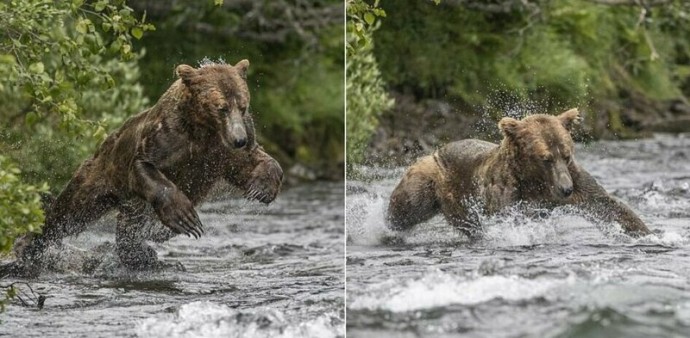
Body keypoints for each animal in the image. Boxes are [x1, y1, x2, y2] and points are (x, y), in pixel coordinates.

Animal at [18, 59, 282, 274]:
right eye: (222, 107)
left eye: (243, 106)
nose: (239, 139)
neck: (203, 129)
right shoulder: (165, 138)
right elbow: (144, 167)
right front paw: (184, 216)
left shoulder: (219, 152)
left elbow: (251, 163)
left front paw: (262, 187)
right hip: (99, 175)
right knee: (71, 211)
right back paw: (32, 247)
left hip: (133, 207)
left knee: (133, 229)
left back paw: (147, 255)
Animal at [388, 108, 652, 238]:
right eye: (545, 158)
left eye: (566, 154)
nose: (566, 189)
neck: (535, 180)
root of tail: (437, 149)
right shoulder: (506, 191)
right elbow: (508, 219)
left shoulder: (574, 180)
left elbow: (607, 206)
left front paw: (647, 234)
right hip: (428, 178)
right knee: (405, 207)